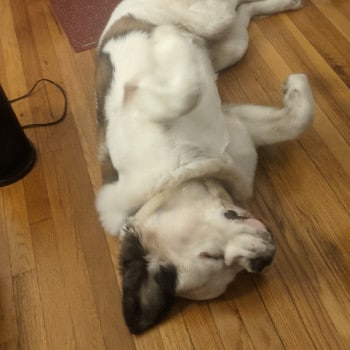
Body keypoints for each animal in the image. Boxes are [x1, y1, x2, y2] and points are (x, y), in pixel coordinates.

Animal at [94, 0, 314, 334]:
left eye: (209, 255)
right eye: (220, 261)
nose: (264, 259)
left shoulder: (143, 107)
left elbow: (181, 95)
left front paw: (168, 41)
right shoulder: (239, 128)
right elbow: (297, 119)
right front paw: (297, 89)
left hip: (209, 19)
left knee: (221, 14)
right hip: (231, 46)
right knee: (243, 14)